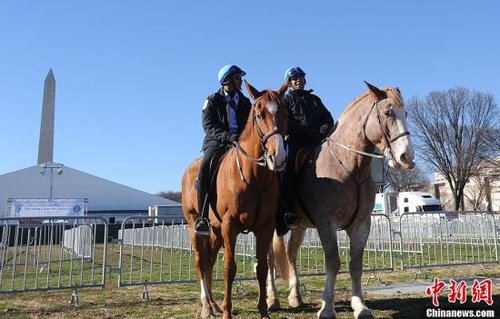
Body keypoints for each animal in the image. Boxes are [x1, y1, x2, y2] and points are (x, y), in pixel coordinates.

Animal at [182, 82, 288, 319]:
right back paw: (206, 306)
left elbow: (262, 268)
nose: (277, 157)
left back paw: (213, 304)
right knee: (200, 262)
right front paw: (227, 312)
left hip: (215, 231)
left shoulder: (265, 227)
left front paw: (264, 311)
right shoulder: (230, 227)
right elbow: (229, 268)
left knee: (209, 262)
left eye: (286, 113)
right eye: (259, 114)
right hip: (196, 226)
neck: (254, 177)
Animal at [268, 82, 416, 319]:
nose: (407, 158)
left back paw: (295, 296)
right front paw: (327, 307)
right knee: (270, 259)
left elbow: (355, 264)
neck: (348, 166)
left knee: (291, 253)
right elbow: (333, 261)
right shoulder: (327, 224)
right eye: (387, 113)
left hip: (299, 226)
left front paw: (360, 306)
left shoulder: (361, 225)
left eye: (406, 113)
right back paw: (272, 299)